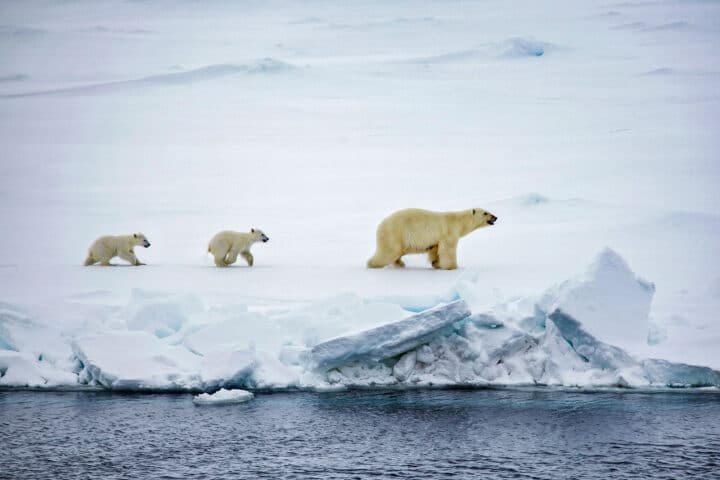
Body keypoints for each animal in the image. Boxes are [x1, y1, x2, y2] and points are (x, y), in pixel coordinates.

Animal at [368, 208, 498, 270]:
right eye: (485, 213)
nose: (495, 217)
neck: (459, 222)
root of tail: (380, 225)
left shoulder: (436, 239)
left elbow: (435, 249)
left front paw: (436, 263)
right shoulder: (449, 231)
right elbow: (448, 249)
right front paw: (453, 267)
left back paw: (400, 263)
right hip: (395, 233)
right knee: (389, 251)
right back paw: (372, 264)